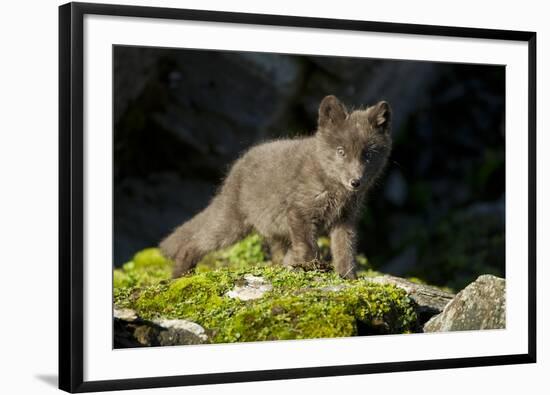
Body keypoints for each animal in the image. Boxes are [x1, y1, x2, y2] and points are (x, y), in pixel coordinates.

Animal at [160, 95, 392, 278]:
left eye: (368, 154)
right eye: (341, 151)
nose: (355, 182)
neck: (335, 189)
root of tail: (236, 167)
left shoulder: (345, 219)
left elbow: (345, 251)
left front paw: (348, 278)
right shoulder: (299, 212)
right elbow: (308, 249)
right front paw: (310, 267)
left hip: (272, 230)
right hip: (232, 225)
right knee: (195, 242)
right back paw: (180, 276)